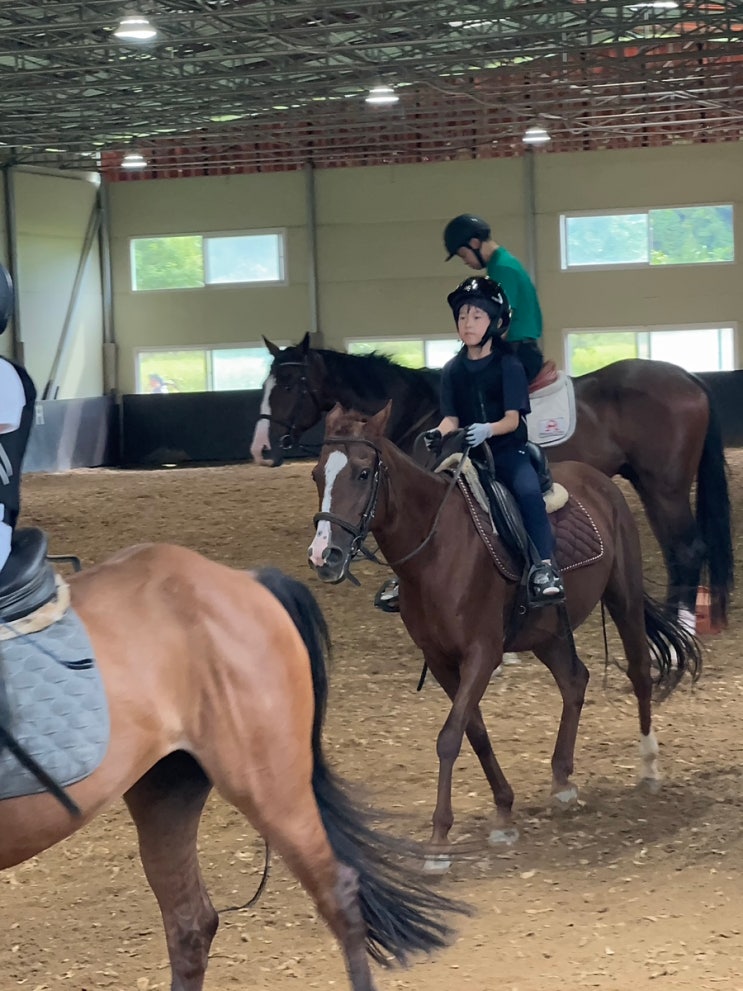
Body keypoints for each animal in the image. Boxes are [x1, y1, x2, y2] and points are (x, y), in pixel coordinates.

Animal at [250, 334, 733, 633]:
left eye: (290, 383)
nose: (260, 448)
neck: (420, 413)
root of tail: (689, 377)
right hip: (651, 486)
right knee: (676, 551)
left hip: (665, 487)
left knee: (687, 549)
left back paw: (682, 629)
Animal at [306, 403, 702, 862]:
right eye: (317, 474)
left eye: (364, 472)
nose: (324, 555)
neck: (437, 550)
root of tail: (599, 480)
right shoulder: (440, 660)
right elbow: (473, 731)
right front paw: (503, 811)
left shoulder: (482, 654)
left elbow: (450, 737)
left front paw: (439, 839)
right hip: (546, 630)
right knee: (574, 680)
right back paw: (562, 782)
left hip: (623, 596)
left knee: (638, 670)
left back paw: (649, 766)